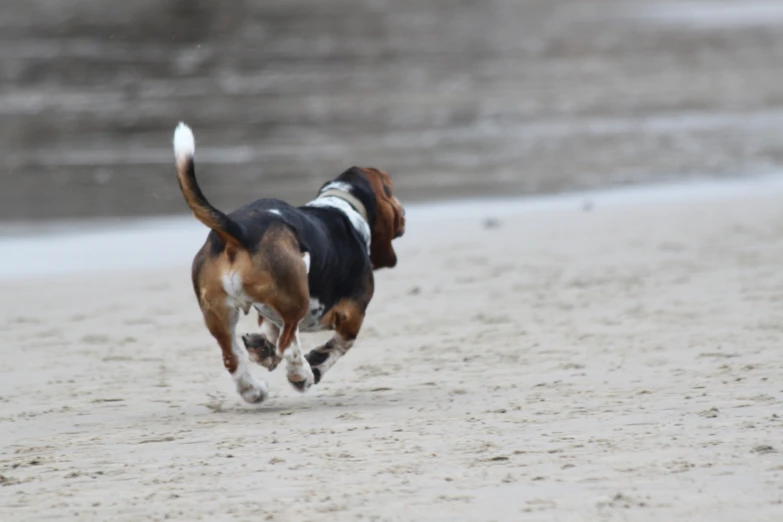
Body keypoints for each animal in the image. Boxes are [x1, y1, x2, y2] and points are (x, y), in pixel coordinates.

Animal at [172, 123, 404, 402]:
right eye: (389, 186)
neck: (342, 203)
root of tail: (240, 231)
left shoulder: (268, 317)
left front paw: (262, 349)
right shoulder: (352, 314)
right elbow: (339, 345)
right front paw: (313, 365)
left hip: (219, 314)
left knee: (233, 358)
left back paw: (255, 390)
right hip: (296, 300)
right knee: (288, 344)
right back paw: (300, 374)